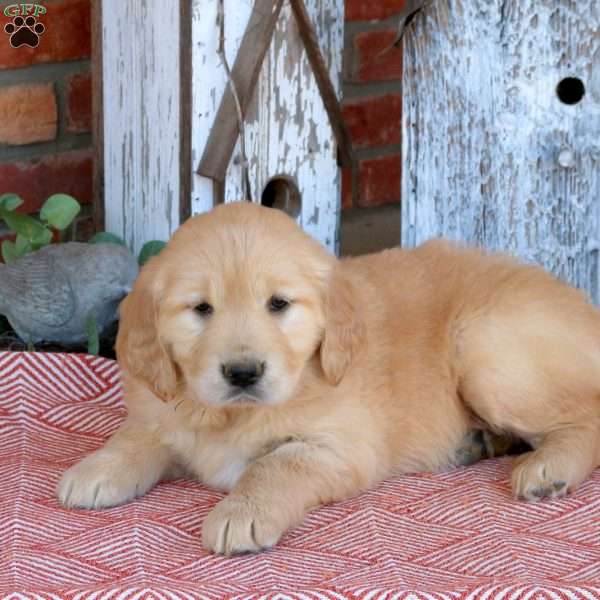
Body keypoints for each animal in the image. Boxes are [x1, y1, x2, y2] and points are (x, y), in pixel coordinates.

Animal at [57, 204, 600, 556]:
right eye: (201, 309)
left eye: (278, 304)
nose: (243, 372)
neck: (232, 414)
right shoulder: (164, 408)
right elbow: (138, 435)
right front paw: (98, 469)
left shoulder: (342, 446)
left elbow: (273, 465)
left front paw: (241, 513)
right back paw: (478, 442)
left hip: (485, 350)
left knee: (586, 414)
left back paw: (548, 469)